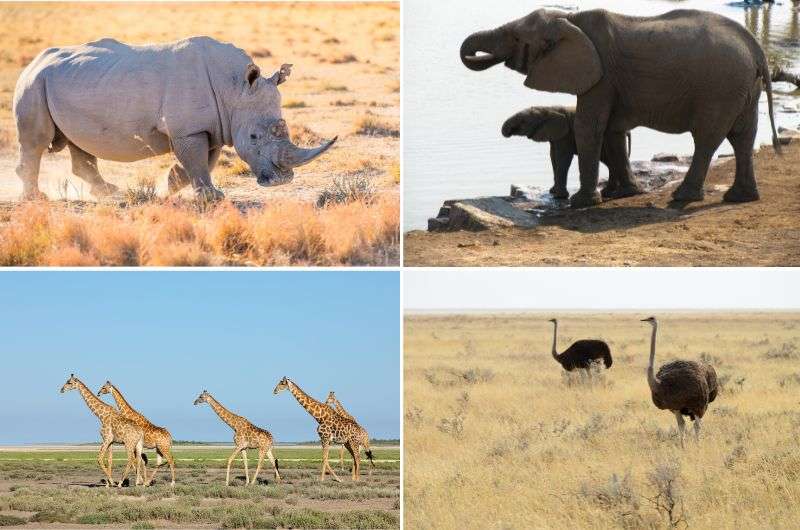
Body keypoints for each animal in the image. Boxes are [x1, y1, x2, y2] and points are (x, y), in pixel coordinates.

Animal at [504, 105, 640, 200]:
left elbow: (562, 157)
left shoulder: (566, 134)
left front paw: (559, 196)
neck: (548, 108)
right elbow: (553, 157)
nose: (507, 132)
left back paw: (608, 192)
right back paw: (608, 192)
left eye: (523, 121)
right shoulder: (556, 135)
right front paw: (553, 191)